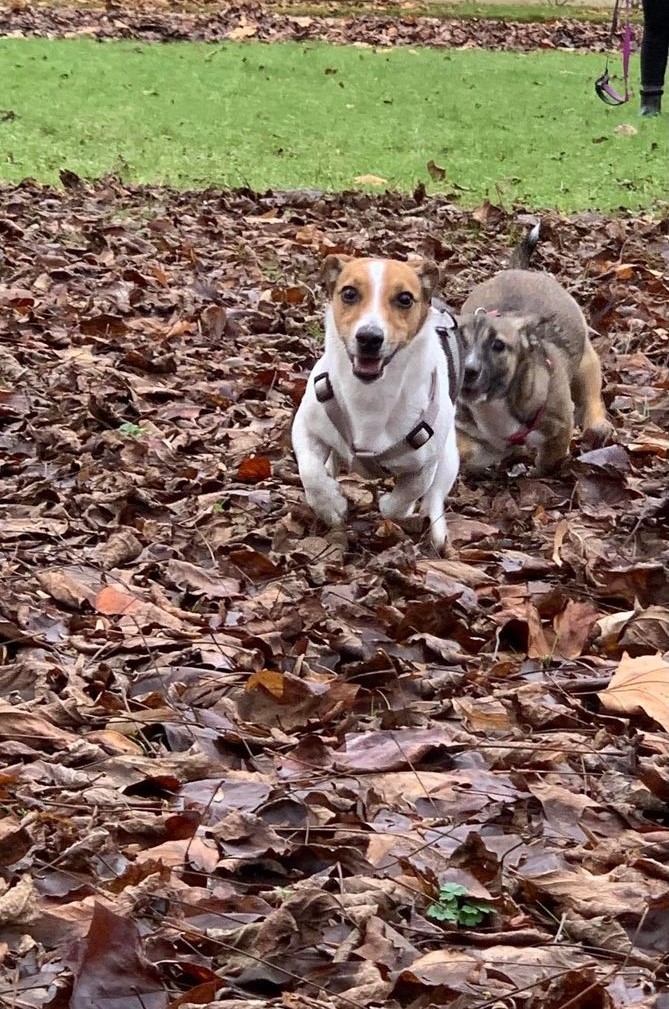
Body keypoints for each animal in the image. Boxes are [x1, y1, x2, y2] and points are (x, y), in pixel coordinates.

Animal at [292, 252, 466, 552]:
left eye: (405, 298)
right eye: (349, 293)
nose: (369, 337)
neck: (370, 394)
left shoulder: (425, 464)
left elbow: (406, 495)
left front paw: (395, 507)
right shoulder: (306, 426)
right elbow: (310, 472)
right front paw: (330, 505)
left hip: (448, 459)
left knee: (434, 497)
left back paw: (436, 532)